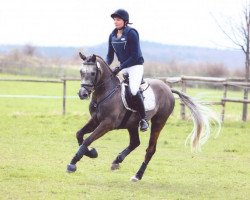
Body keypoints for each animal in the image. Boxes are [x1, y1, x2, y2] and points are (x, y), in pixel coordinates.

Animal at [66, 52, 221, 182]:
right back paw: (117, 161)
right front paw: (91, 153)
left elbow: (87, 140)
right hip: (132, 124)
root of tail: (168, 89)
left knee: (150, 149)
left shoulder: (107, 124)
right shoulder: (95, 120)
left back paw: (137, 175)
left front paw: (72, 164)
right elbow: (79, 135)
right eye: (81, 72)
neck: (105, 93)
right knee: (135, 142)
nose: (82, 94)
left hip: (158, 122)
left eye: (92, 73)